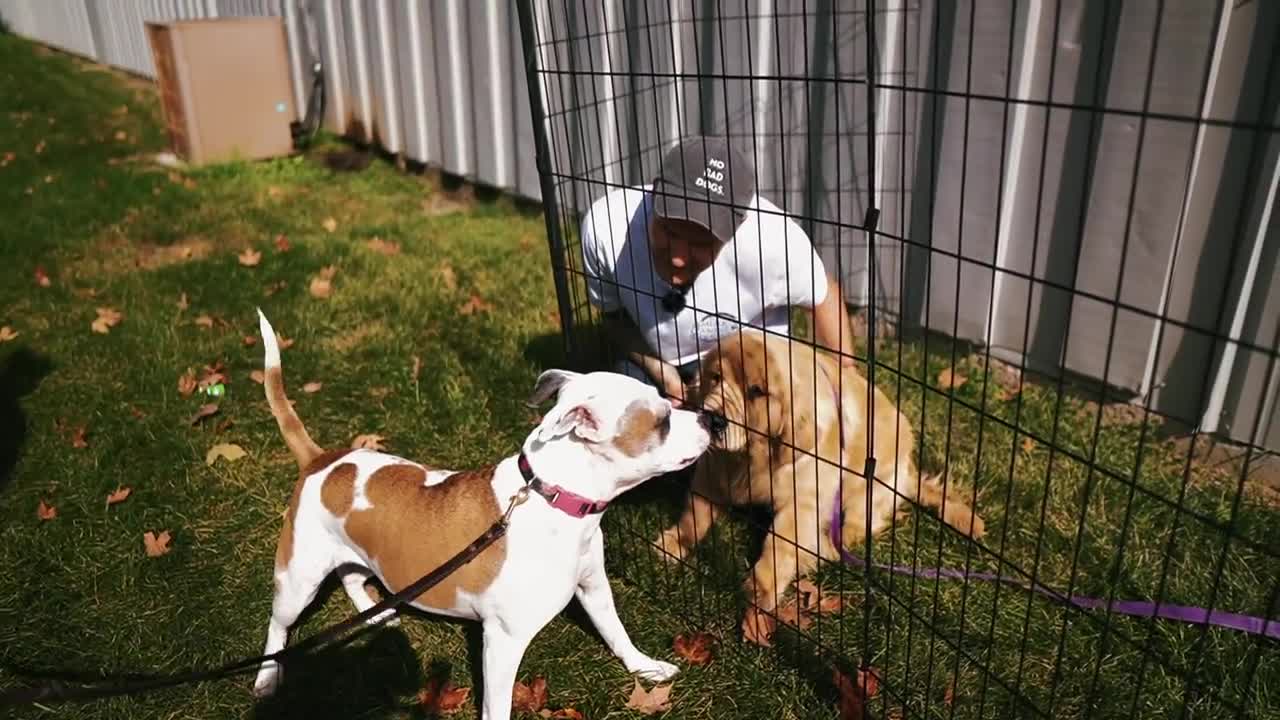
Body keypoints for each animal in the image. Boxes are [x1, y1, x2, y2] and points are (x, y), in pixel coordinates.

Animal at [248, 310, 711, 717]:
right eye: (662, 420)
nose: (711, 417)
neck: (552, 497)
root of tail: (321, 459)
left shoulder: (594, 587)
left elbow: (616, 632)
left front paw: (645, 667)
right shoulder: (502, 640)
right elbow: (496, 706)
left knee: (352, 577)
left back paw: (377, 612)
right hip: (298, 578)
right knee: (278, 625)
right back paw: (267, 678)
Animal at [655, 330, 983, 627]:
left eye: (757, 391)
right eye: (714, 377)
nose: (712, 419)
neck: (751, 455)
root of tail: (908, 471)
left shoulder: (804, 498)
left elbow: (781, 541)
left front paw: (763, 587)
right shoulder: (712, 474)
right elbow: (693, 519)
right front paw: (673, 543)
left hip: (866, 488)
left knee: (857, 527)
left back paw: (825, 547)